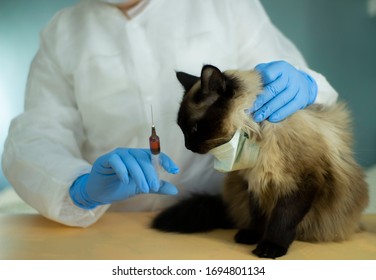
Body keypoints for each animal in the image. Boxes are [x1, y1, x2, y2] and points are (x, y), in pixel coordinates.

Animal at [151, 64, 368, 260]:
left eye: (194, 129)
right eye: (182, 129)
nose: (188, 146)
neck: (254, 134)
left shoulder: (301, 183)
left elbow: (281, 220)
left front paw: (270, 247)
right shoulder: (254, 184)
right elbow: (258, 217)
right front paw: (252, 236)